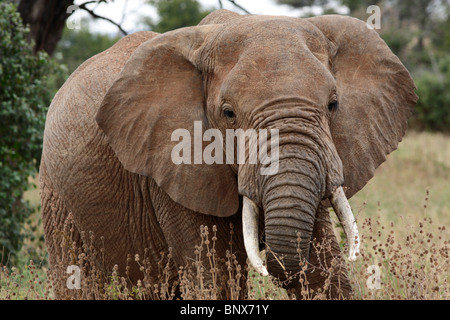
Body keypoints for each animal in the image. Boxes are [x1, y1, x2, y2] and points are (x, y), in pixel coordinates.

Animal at [40, 10, 416, 300]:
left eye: (333, 105)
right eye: (228, 113)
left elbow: (326, 275)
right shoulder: (173, 167)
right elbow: (214, 279)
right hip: (56, 196)